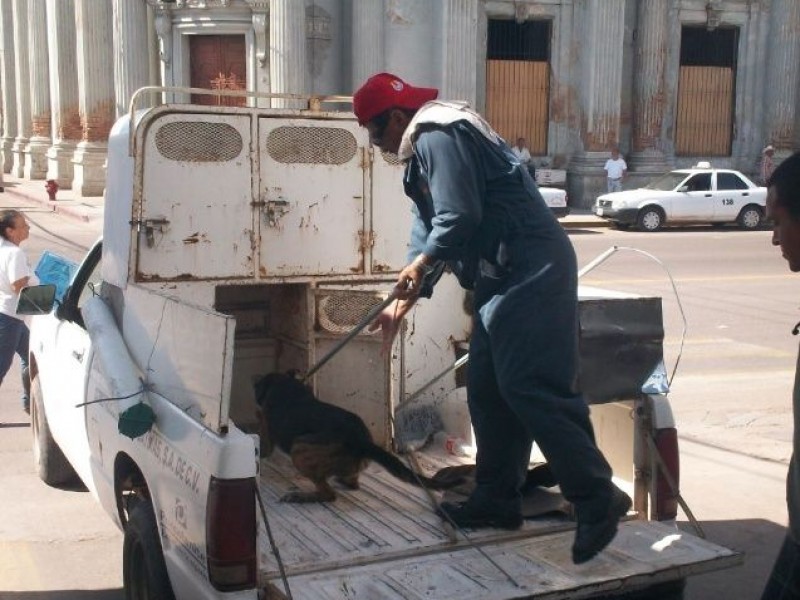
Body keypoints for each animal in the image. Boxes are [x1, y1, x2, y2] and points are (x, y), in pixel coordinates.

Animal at [253, 370, 460, 502]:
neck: (284, 384)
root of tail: (361, 441)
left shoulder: (266, 427)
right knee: (352, 483)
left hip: (299, 449)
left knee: (328, 495)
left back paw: (300, 496)